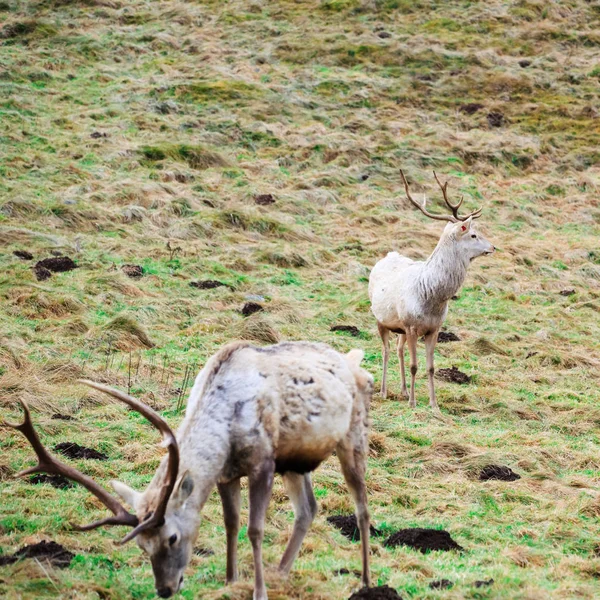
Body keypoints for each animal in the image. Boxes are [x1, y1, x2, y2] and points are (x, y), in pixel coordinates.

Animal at [8, 342, 376, 600]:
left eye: (172, 537)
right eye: (142, 546)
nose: (165, 589)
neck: (225, 431)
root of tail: (356, 363)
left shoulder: (263, 462)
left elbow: (255, 529)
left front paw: (258, 591)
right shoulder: (228, 473)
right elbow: (231, 524)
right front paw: (230, 580)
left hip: (353, 437)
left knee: (361, 508)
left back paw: (365, 580)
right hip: (296, 462)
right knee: (308, 509)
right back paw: (281, 572)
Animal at [368, 169, 494, 412]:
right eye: (473, 234)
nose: (493, 247)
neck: (431, 298)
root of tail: (388, 255)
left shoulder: (434, 329)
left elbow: (430, 367)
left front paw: (434, 404)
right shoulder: (411, 326)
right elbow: (415, 365)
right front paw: (413, 403)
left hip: (399, 327)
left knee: (398, 349)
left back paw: (403, 390)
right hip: (381, 319)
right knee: (386, 351)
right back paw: (384, 391)